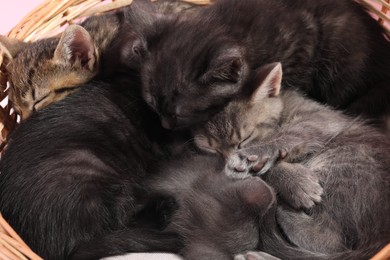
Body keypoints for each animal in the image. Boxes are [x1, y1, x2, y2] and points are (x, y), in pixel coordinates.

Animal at [193, 62, 390, 258]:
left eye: (245, 138)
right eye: (212, 149)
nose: (230, 157)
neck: (283, 108)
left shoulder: (320, 120)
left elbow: (289, 135)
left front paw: (254, 156)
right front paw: (293, 181)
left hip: (343, 158)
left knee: (330, 240)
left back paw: (282, 209)